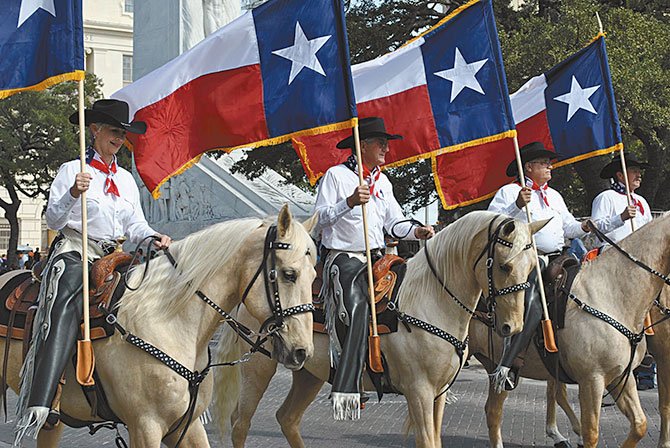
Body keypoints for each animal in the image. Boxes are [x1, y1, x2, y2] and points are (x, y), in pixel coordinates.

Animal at [0, 205, 318, 446]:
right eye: (289, 274)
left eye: (314, 276)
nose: (302, 351)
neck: (167, 324)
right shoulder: (145, 426)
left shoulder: (187, 426)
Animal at [213, 211, 548, 448]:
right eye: (504, 266)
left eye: (533, 266)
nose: (513, 325)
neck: (430, 300)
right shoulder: (419, 392)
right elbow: (427, 441)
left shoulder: (439, 393)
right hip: (259, 367)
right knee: (240, 423)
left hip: (308, 371)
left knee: (287, 418)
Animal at [472, 214, 670, 448]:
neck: (612, 294)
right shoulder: (592, 380)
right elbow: (591, 433)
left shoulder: (621, 375)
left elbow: (640, 424)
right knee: (494, 411)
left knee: (494, 409)